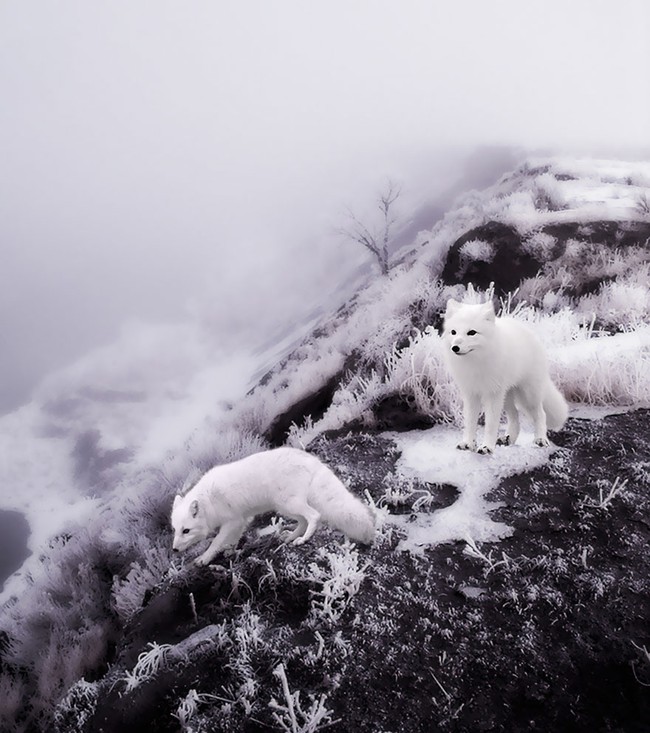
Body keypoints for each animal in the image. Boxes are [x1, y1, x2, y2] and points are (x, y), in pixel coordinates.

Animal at [171, 446, 374, 568]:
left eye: (186, 530)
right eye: (175, 530)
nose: (174, 550)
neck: (208, 502)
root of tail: (311, 459)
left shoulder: (232, 520)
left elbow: (216, 541)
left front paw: (204, 558)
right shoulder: (241, 520)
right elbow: (232, 539)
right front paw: (230, 551)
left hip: (288, 503)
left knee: (314, 515)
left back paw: (303, 539)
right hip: (284, 507)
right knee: (302, 520)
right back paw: (290, 537)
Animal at [440, 298, 568, 452]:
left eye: (472, 332)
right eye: (453, 332)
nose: (455, 348)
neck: (475, 364)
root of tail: (530, 332)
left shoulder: (492, 394)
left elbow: (491, 424)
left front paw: (486, 447)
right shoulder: (470, 394)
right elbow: (470, 422)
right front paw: (468, 443)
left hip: (528, 394)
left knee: (540, 414)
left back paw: (540, 439)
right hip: (506, 396)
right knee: (515, 416)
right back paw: (508, 439)